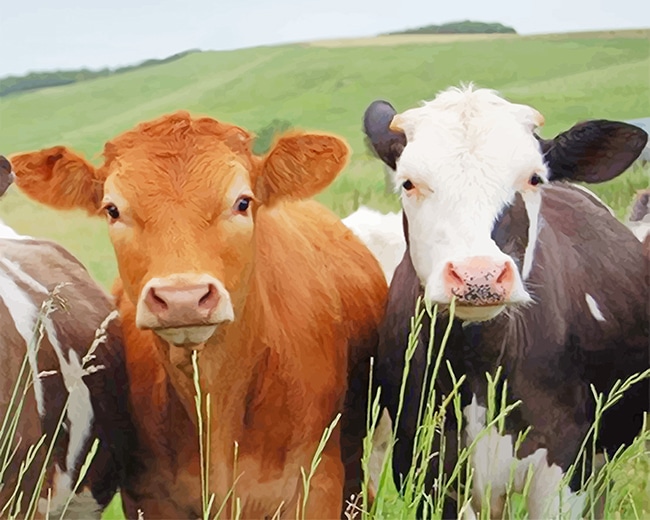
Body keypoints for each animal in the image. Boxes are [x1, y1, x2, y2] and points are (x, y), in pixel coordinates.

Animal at [362, 85, 649, 519]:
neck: (481, 364)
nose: (477, 275)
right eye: (409, 183)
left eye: (533, 178)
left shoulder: (563, 470)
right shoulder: (425, 466)